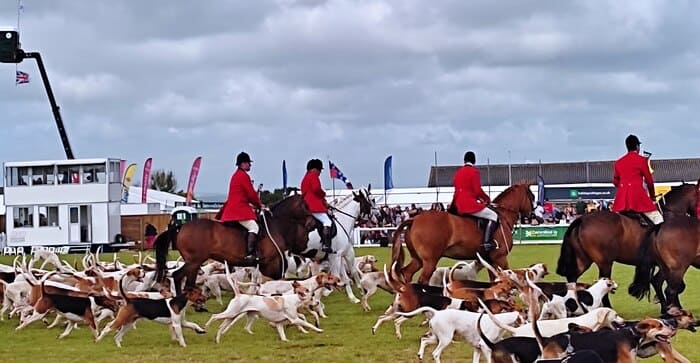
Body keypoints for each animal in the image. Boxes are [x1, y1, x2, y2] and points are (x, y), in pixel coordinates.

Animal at [157, 195, 318, 294]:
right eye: (305, 205)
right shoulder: (271, 262)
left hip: (194, 263)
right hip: (194, 261)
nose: (313, 223)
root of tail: (180, 227)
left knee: (188, 282)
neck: (274, 225)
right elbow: (275, 278)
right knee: (178, 276)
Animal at [392, 182, 532, 284]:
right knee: (422, 280)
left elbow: (494, 280)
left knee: (407, 274)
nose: (532, 215)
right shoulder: (500, 257)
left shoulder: (489, 259)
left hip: (417, 259)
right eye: (531, 195)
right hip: (430, 261)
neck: (502, 216)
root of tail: (414, 219)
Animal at [556, 181, 696, 308]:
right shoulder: (668, 264)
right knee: (602, 284)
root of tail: (582, 218)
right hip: (604, 263)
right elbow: (670, 285)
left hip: (583, 260)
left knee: (572, 277)